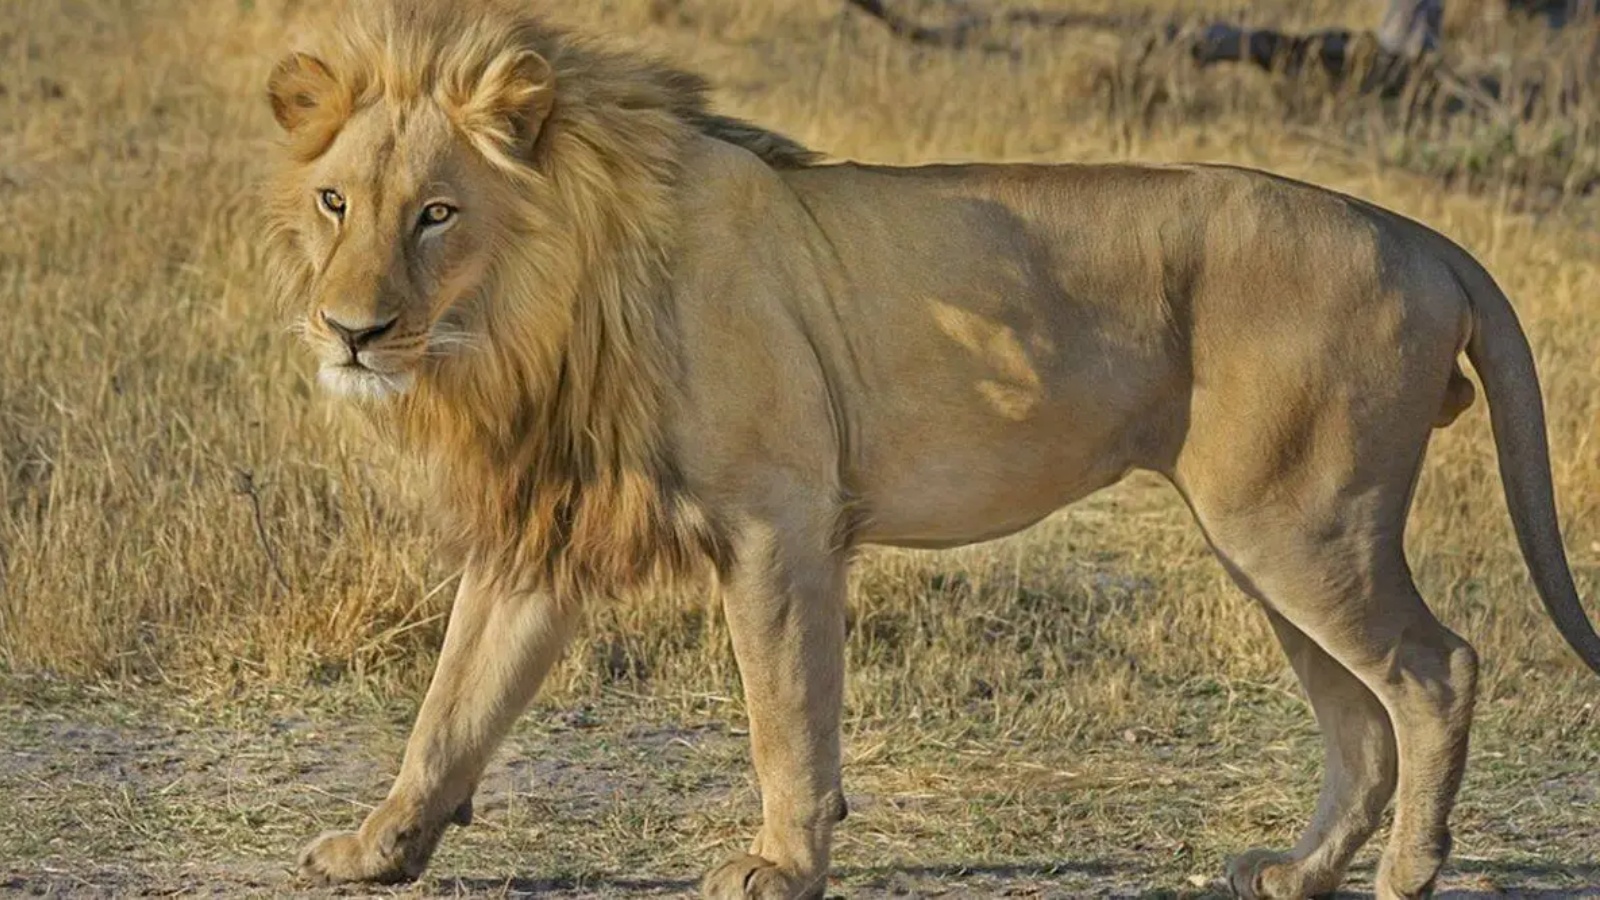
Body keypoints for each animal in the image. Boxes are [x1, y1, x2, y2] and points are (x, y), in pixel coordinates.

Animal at [262, 1, 1600, 897]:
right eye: (336, 203)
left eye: (437, 213)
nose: (350, 330)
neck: (534, 316)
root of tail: (1416, 231)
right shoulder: (543, 531)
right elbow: (451, 707)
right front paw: (377, 849)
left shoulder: (778, 520)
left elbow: (785, 713)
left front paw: (780, 863)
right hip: (1266, 536)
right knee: (1359, 721)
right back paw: (1299, 871)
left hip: (1299, 523)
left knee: (1435, 672)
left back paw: (1407, 874)